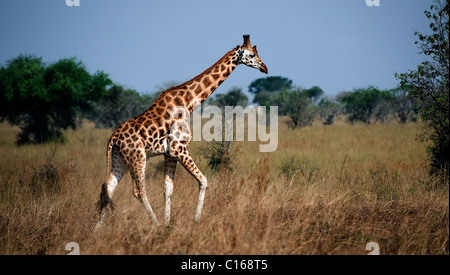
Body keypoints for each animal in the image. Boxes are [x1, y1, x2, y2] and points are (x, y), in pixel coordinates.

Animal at [94, 34, 268, 231]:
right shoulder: (180, 148)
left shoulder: (170, 153)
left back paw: (96, 230)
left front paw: (168, 222)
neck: (189, 102)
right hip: (137, 157)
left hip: (120, 160)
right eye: (252, 54)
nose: (265, 68)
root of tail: (113, 138)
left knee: (108, 189)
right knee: (138, 191)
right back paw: (155, 224)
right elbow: (203, 181)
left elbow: (167, 189)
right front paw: (194, 220)